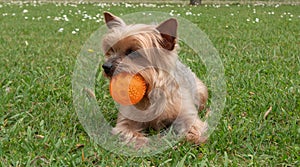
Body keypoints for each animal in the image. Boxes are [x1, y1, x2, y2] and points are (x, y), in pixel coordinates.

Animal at [102, 11, 207, 147]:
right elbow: (126, 130)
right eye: (111, 50)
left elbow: (193, 127)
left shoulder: (187, 114)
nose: (106, 66)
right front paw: (142, 143)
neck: (150, 93)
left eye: (133, 53)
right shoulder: (126, 120)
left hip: (201, 90)